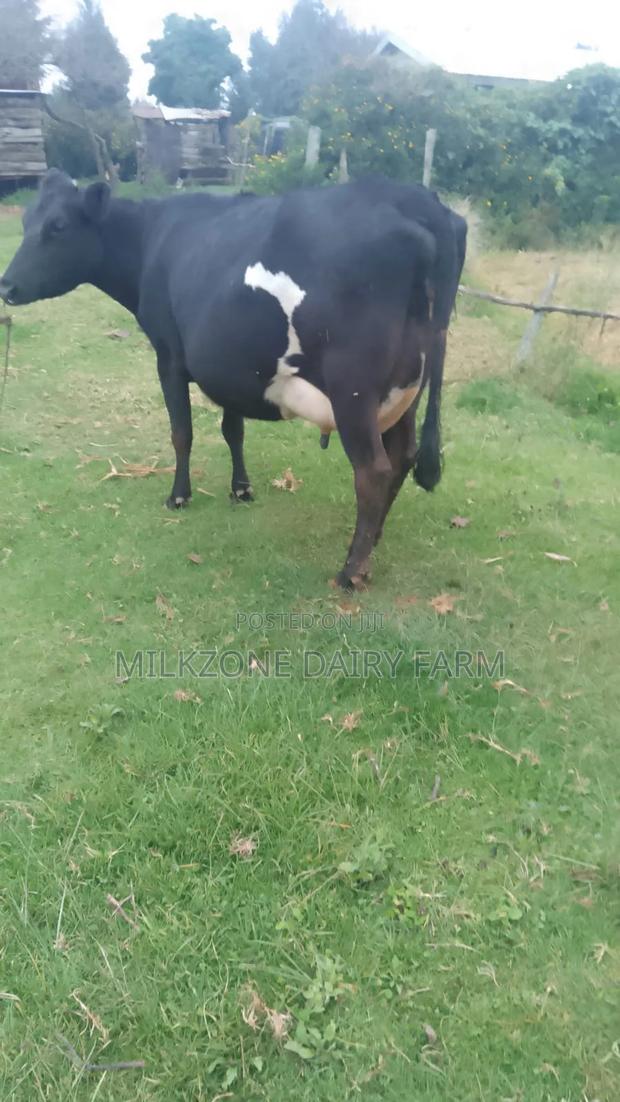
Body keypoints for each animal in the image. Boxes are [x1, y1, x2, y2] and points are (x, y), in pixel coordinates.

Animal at [0, 169, 466, 589]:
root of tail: (419, 200)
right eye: (26, 223)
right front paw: (241, 489)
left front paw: (179, 495)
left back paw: (351, 570)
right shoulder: (230, 365)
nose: (7, 285)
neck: (153, 240)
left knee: (374, 470)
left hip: (353, 389)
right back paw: (372, 544)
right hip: (408, 386)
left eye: (57, 226)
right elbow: (233, 429)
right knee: (403, 456)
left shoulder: (168, 355)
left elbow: (182, 433)